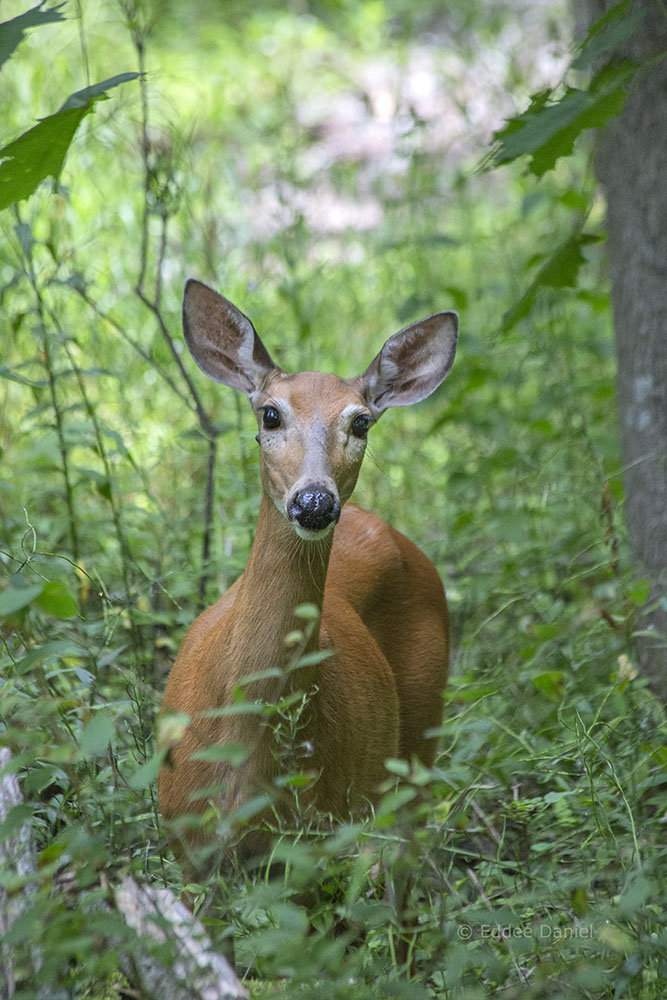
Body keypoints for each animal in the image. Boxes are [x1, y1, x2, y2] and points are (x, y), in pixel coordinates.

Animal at [157, 278, 460, 880]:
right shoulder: (186, 846)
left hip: (417, 739)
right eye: (270, 415)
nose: (315, 501)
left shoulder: (306, 849)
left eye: (361, 421)